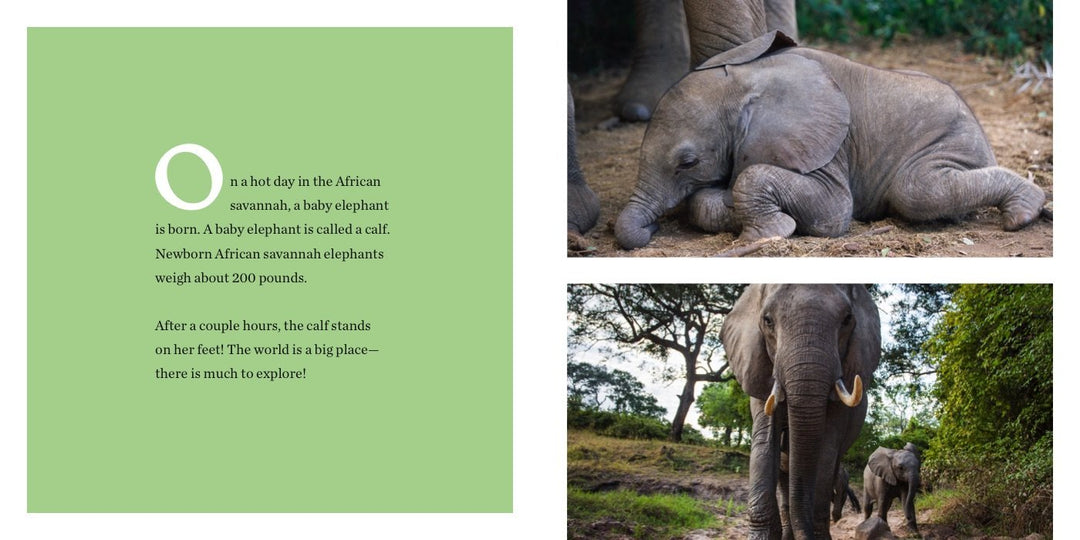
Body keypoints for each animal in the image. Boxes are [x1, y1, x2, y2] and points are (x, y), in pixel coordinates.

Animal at [613, 30, 1048, 249]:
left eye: (687, 162)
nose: (652, 232)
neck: (744, 81)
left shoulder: (829, 144)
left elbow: (834, 212)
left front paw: (767, 234)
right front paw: (731, 208)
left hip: (950, 144)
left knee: (916, 191)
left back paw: (1025, 212)